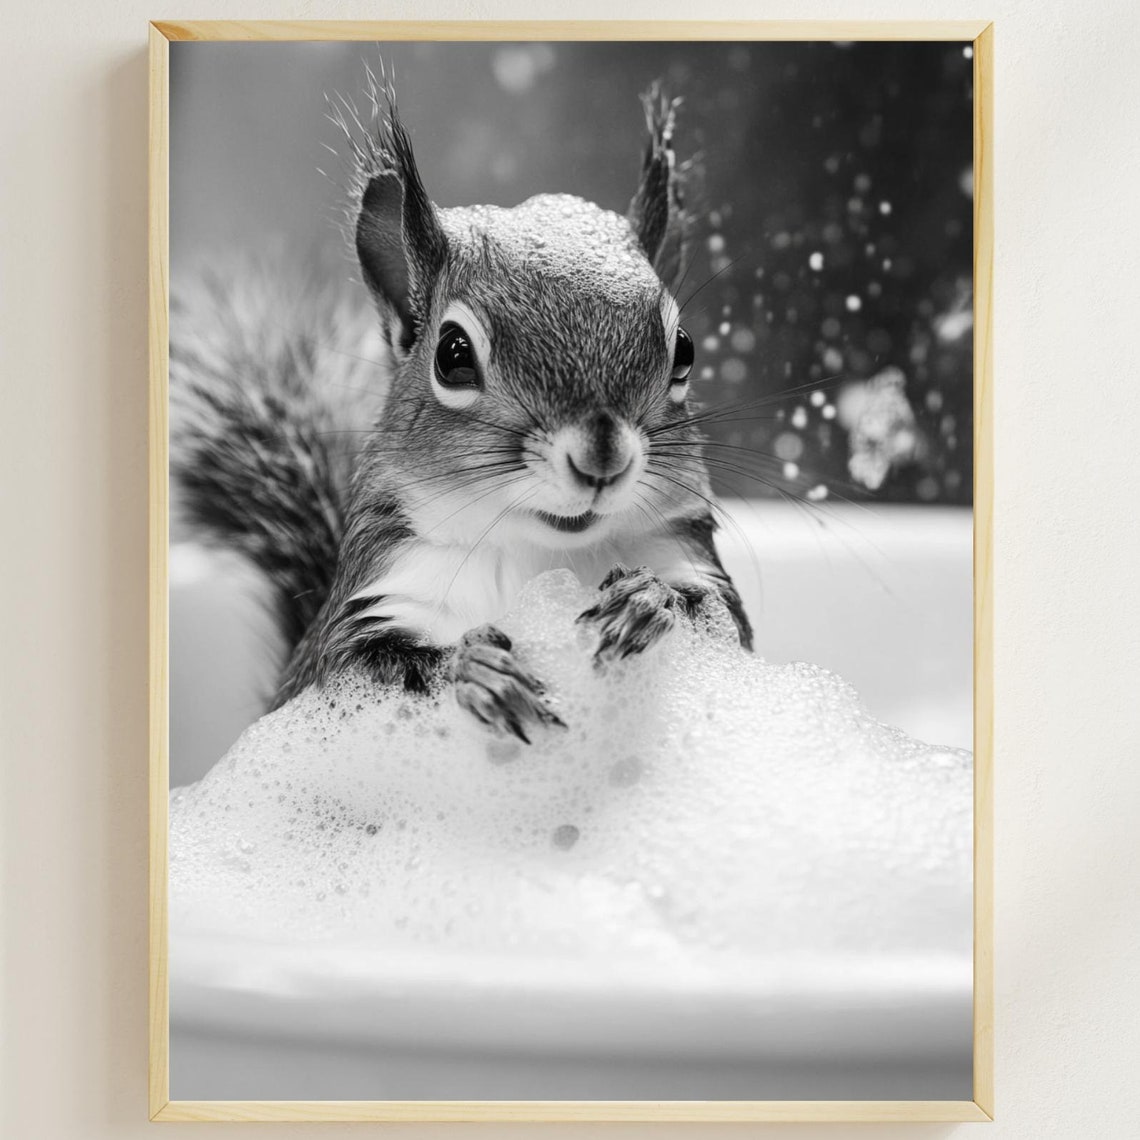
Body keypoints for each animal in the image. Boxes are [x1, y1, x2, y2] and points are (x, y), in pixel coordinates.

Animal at [171, 77, 753, 744]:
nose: (601, 458)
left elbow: (718, 621)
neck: (537, 556)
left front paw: (645, 602)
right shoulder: (364, 622)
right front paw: (476, 669)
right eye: (452, 355)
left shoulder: (694, 569)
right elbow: (370, 667)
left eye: (684, 350)